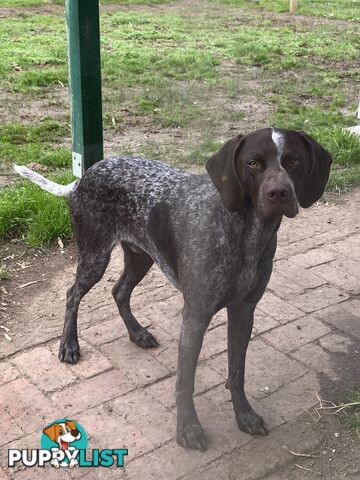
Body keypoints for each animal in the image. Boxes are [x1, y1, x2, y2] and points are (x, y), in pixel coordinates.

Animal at [16, 126, 332, 450]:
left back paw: (137, 333)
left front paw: (244, 415)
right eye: (253, 163)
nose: (279, 193)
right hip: (95, 257)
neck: (247, 234)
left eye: (294, 160)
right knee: (73, 294)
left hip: (141, 257)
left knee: (119, 291)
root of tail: (85, 176)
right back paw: (69, 345)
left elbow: (237, 373)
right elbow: (185, 382)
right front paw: (188, 429)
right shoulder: (195, 317)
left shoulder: (244, 311)